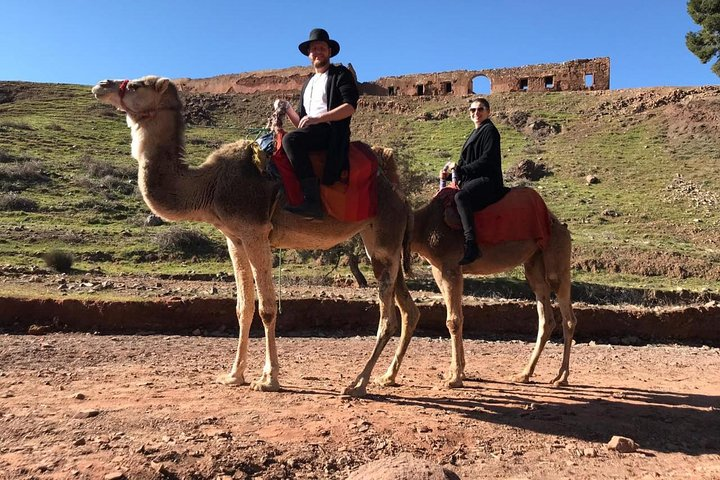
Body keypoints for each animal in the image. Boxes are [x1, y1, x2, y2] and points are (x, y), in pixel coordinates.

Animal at [91, 76, 420, 397]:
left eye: (136, 85)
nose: (102, 85)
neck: (210, 186)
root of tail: (399, 191)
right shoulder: (234, 238)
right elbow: (243, 307)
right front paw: (233, 375)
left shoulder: (256, 233)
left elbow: (267, 308)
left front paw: (268, 378)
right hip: (379, 243)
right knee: (408, 308)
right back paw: (387, 377)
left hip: (385, 234)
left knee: (388, 316)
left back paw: (358, 383)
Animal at [411, 191, 577, 388]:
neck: (424, 228)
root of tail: (562, 227)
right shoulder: (438, 269)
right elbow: (459, 317)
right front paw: (457, 372)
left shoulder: (449, 266)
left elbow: (453, 320)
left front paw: (455, 378)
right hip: (534, 263)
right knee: (546, 318)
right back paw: (524, 374)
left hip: (558, 259)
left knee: (568, 317)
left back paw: (561, 377)